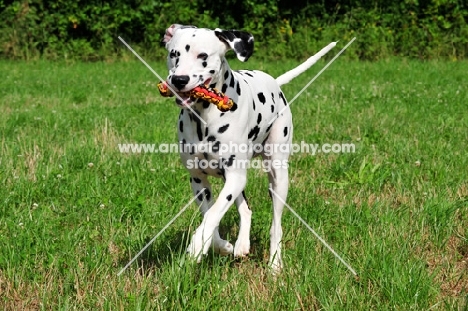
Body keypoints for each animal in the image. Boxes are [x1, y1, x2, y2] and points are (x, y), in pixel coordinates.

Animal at [163, 25, 330, 272]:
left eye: (203, 56)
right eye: (174, 54)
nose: (179, 79)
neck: (205, 117)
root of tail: (274, 82)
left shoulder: (235, 176)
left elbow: (213, 214)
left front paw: (197, 245)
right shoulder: (199, 181)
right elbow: (211, 214)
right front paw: (220, 245)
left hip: (277, 177)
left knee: (276, 225)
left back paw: (275, 264)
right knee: (246, 208)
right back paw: (241, 244)